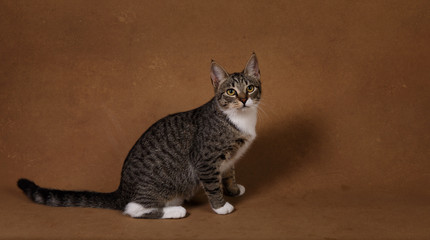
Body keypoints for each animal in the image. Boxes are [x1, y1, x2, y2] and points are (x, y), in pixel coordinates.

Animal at [17, 53, 262, 218]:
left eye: (250, 88)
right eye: (230, 92)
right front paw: (221, 206)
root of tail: (122, 190)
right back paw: (175, 210)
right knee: (132, 209)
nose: (243, 99)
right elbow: (212, 183)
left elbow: (228, 173)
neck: (239, 118)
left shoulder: (228, 158)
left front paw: (233, 190)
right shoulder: (205, 159)